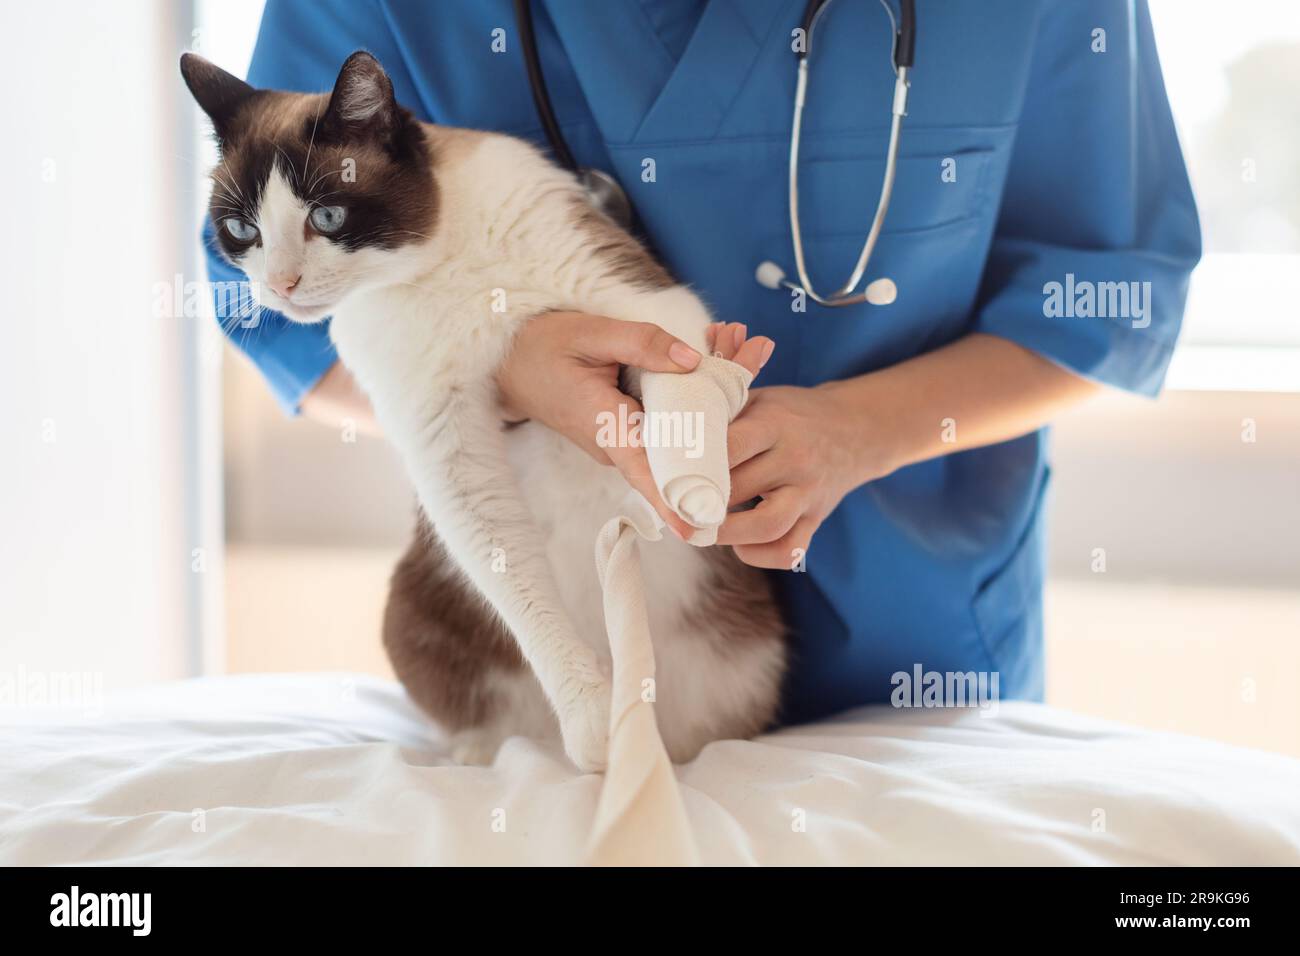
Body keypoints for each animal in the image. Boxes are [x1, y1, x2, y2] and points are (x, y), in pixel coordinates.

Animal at [178, 48, 785, 775]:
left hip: (749, 658)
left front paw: (694, 489)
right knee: (500, 721)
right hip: (412, 610)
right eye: (243, 231)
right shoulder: (447, 449)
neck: (438, 269)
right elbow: (519, 590)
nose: (279, 287)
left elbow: (680, 383)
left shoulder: (649, 310)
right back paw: (495, 754)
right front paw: (595, 727)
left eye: (326, 218)